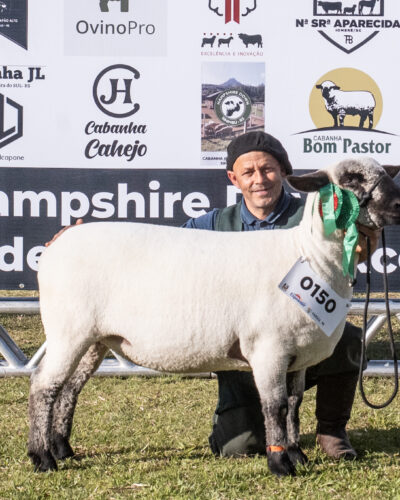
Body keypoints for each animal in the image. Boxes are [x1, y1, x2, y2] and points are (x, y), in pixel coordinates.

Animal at [27, 159, 400, 476]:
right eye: (351, 178)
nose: (398, 205)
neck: (311, 255)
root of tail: (54, 248)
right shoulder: (269, 348)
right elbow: (276, 407)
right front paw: (280, 464)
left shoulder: (299, 354)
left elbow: (295, 405)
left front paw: (297, 455)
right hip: (67, 331)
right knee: (43, 387)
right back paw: (41, 458)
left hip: (94, 339)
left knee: (68, 389)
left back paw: (62, 449)